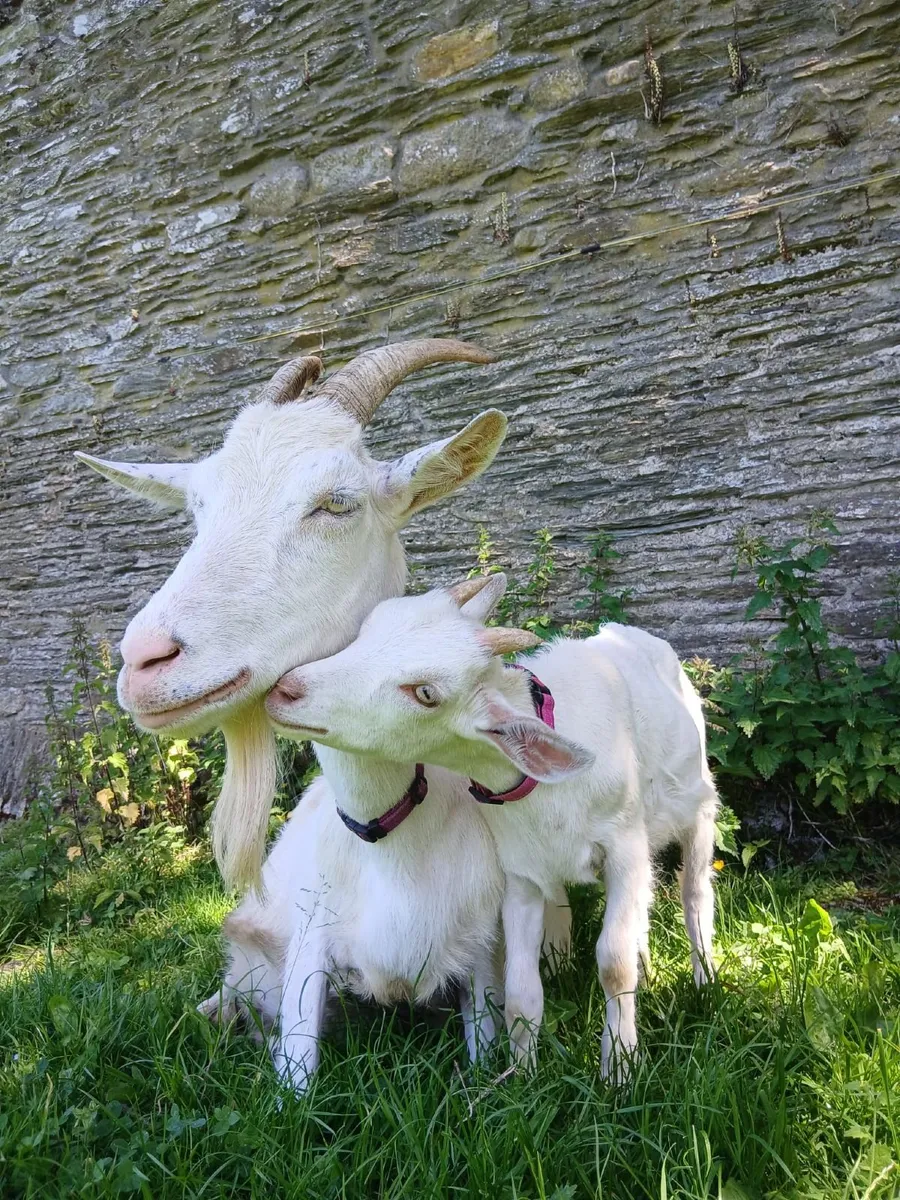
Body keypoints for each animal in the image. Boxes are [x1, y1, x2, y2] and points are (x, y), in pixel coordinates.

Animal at [265, 574, 719, 1079]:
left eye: (426, 694)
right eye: (367, 628)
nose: (285, 690)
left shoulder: (624, 847)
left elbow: (613, 963)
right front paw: (521, 1075)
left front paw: (619, 1070)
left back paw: (705, 983)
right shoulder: (520, 872)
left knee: (694, 891)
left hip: (699, 802)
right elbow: (521, 988)